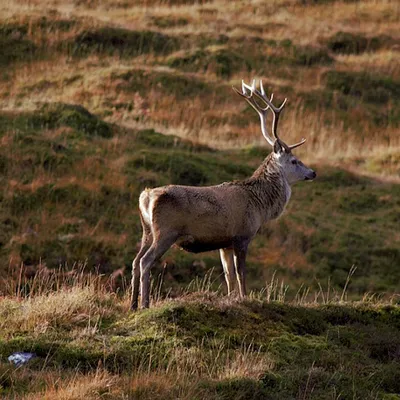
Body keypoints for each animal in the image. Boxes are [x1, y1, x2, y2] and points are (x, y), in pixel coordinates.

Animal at [130, 78, 316, 310]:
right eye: (294, 161)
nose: (313, 172)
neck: (260, 206)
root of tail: (146, 197)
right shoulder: (242, 235)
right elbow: (241, 273)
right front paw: (244, 298)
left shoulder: (224, 243)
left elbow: (229, 275)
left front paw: (230, 298)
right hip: (166, 231)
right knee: (145, 261)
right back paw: (144, 304)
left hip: (146, 230)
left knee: (135, 261)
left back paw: (132, 305)